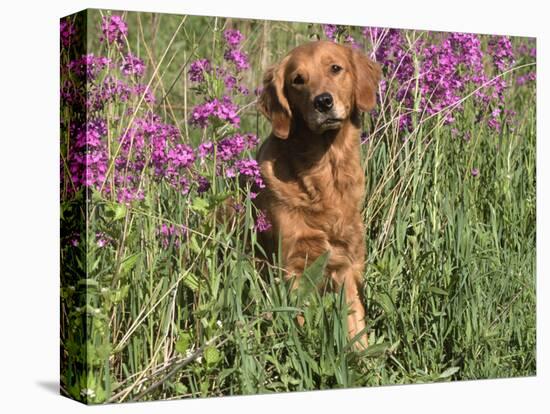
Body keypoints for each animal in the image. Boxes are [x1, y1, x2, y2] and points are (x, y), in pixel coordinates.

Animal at [256, 40, 382, 350]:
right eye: (297, 80)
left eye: (335, 68)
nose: (322, 102)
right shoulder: (292, 266)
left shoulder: (345, 263)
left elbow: (355, 322)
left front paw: (362, 354)